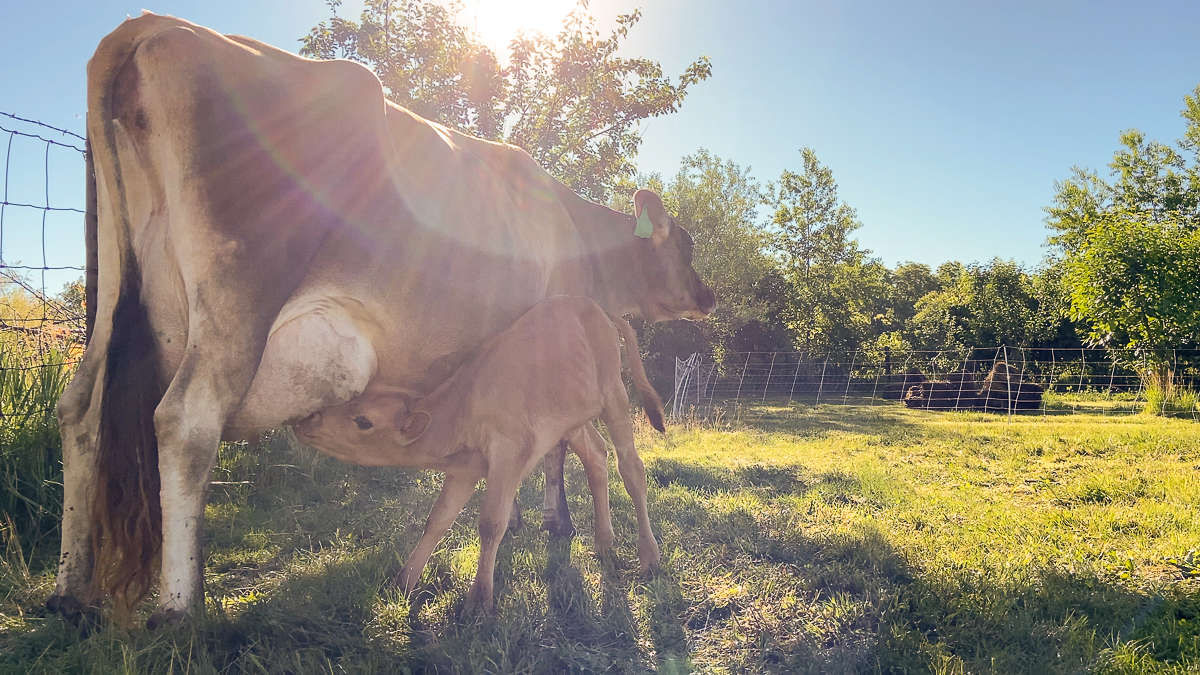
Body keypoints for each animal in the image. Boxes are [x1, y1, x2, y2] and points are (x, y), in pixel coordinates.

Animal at [294, 296, 665, 610]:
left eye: (363, 421)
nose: (306, 419)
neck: (465, 405)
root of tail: (597, 308)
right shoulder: (464, 470)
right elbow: (437, 520)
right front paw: (403, 582)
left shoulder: (509, 455)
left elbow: (491, 522)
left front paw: (479, 599)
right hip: (573, 420)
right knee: (596, 456)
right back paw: (604, 541)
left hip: (614, 396)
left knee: (631, 467)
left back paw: (649, 556)